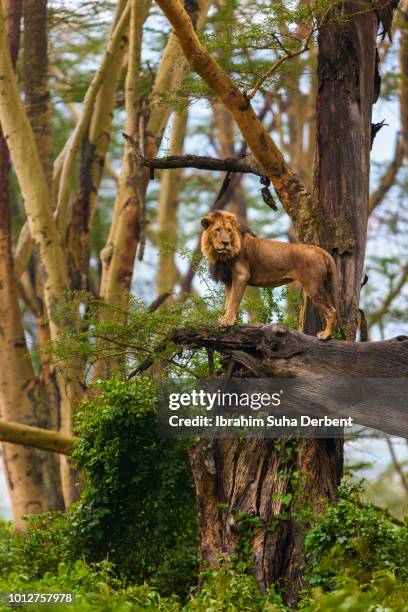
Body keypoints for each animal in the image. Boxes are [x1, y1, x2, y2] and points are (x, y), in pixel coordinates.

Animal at [201, 212, 342, 342]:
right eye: (218, 230)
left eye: (229, 231)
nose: (225, 243)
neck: (221, 255)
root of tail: (320, 250)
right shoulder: (229, 280)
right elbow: (229, 300)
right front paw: (229, 319)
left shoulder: (241, 276)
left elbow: (233, 301)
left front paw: (228, 321)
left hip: (313, 286)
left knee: (332, 311)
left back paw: (326, 335)